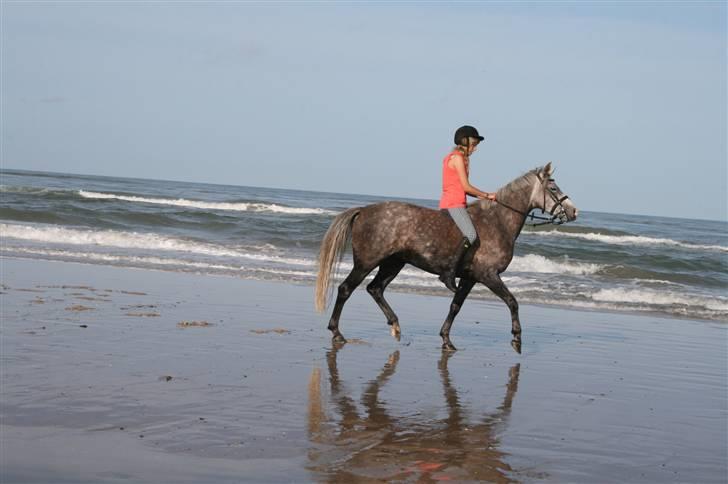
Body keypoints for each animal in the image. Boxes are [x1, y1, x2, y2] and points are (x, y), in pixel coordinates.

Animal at [316, 163, 576, 352]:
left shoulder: (471, 278)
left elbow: (455, 306)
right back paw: (337, 333)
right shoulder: (488, 275)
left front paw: (446, 340)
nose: (573, 211)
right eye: (553, 189)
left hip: (393, 263)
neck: (498, 221)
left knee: (375, 289)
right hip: (367, 262)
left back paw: (396, 326)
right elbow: (512, 301)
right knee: (346, 289)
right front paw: (517, 339)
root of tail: (364, 210)